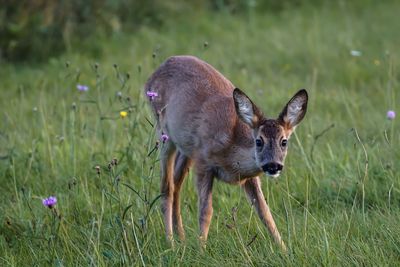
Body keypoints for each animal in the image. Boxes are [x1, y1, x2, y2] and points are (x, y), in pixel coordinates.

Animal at [145, 55, 308, 252]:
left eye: (284, 141)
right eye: (259, 141)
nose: (273, 165)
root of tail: (156, 71)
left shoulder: (250, 177)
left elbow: (265, 212)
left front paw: (284, 250)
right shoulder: (204, 162)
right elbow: (206, 211)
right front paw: (201, 249)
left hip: (186, 149)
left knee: (177, 185)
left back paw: (181, 239)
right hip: (164, 133)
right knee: (167, 187)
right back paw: (170, 242)